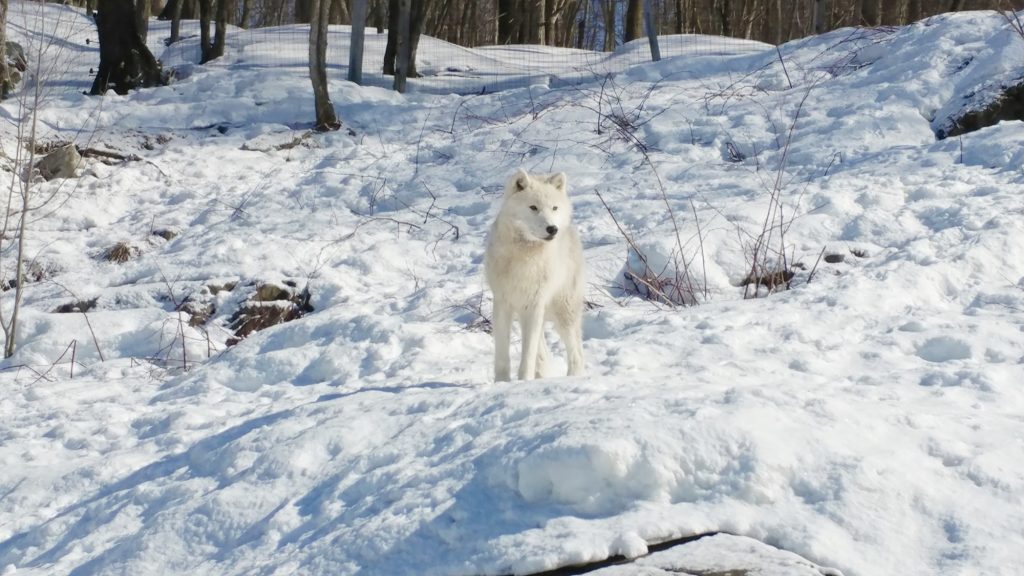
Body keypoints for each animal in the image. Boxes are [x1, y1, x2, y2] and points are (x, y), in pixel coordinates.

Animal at [481, 168, 581, 379]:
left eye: (554, 208)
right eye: (533, 207)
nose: (552, 229)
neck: (525, 254)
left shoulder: (534, 304)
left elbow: (527, 354)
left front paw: (524, 380)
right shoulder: (503, 303)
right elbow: (502, 354)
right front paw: (502, 382)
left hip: (563, 312)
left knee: (577, 353)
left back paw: (573, 377)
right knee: (543, 352)